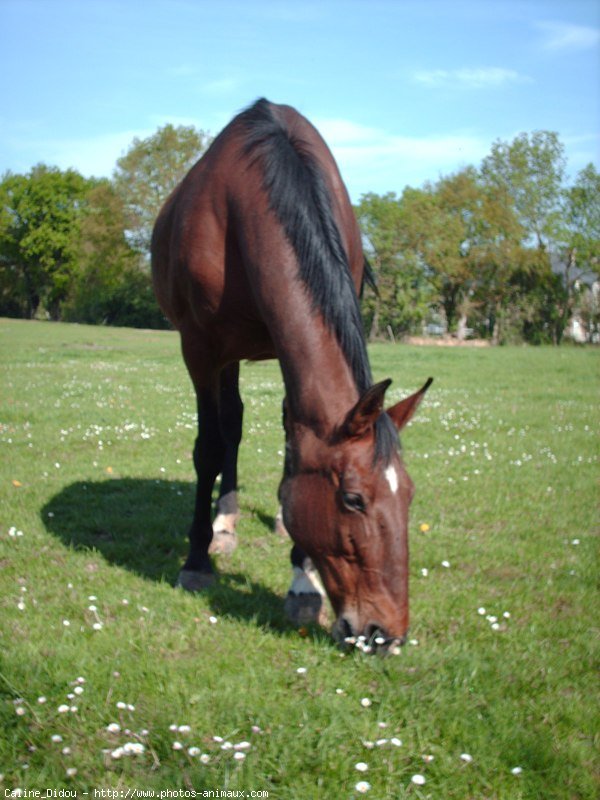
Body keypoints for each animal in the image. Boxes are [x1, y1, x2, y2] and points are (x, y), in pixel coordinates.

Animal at [151, 100, 432, 648]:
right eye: (352, 499)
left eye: (408, 494)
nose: (384, 634)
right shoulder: (200, 348)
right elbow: (209, 447)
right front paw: (195, 562)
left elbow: (296, 444)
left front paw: (302, 581)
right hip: (224, 355)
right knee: (230, 426)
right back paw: (224, 523)